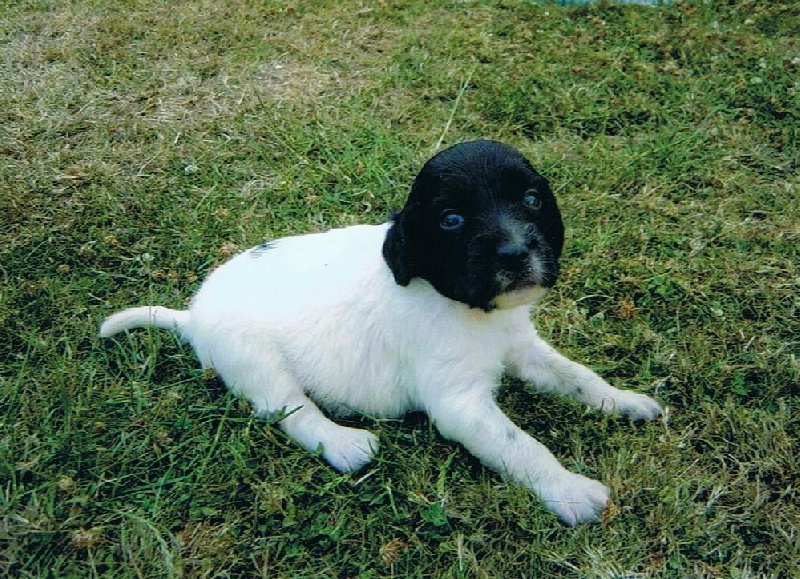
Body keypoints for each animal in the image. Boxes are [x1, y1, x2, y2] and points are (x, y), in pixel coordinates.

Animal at [100, 140, 664, 524]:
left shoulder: (521, 348)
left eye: (531, 199)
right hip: (255, 361)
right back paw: (345, 444)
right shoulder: (459, 403)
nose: (515, 253)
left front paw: (627, 402)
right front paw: (571, 491)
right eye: (451, 219)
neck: (464, 306)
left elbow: (579, 377)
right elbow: (521, 445)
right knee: (291, 411)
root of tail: (192, 316)